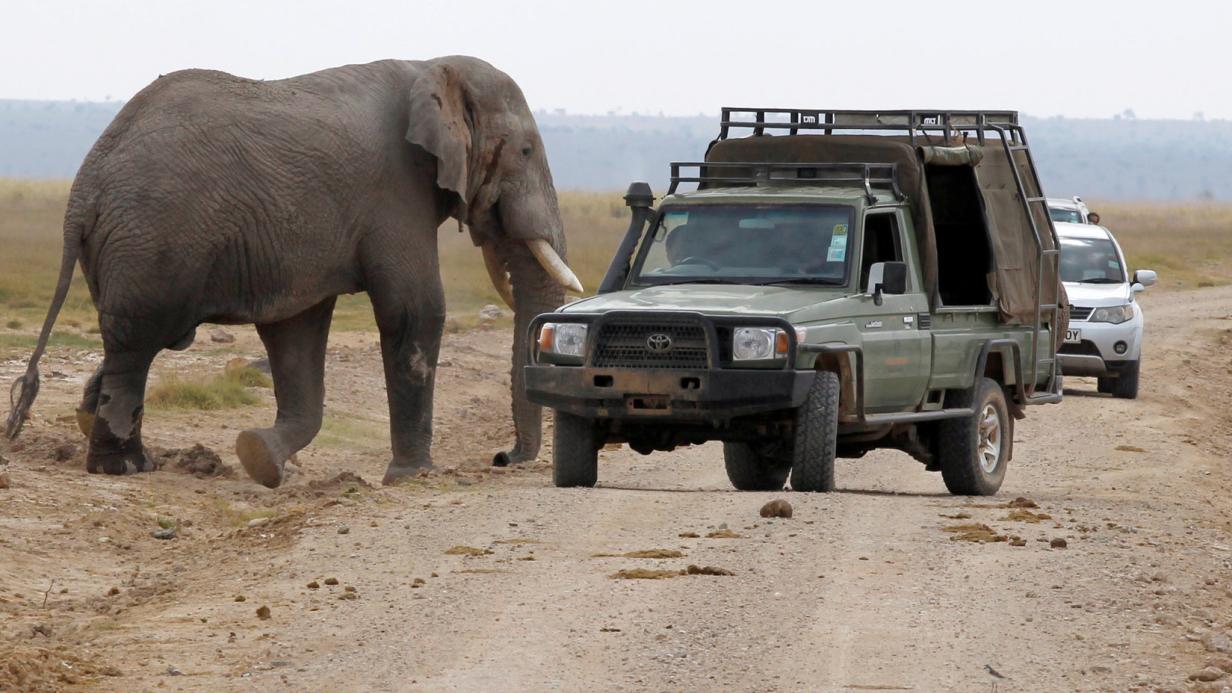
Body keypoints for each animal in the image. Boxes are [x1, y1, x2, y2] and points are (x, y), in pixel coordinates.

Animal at [2, 53, 579, 485]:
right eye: (526, 150)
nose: (503, 458)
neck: (432, 67)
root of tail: (83, 188)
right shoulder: (394, 191)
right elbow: (414, 311)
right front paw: (414, 476)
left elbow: (296, 330)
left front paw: (260, 457)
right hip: (150, 239)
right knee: (137, 344)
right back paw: (121, 468)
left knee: (134, 341)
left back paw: (107, 438)